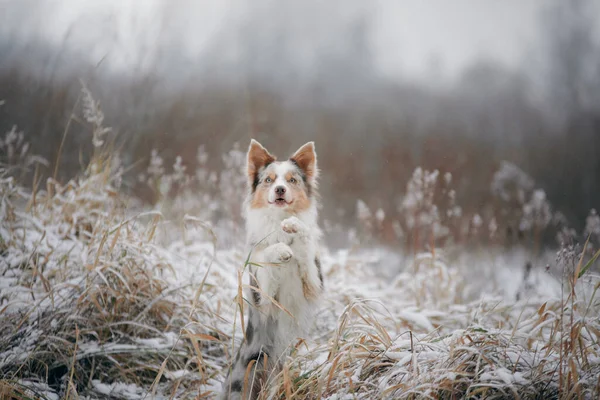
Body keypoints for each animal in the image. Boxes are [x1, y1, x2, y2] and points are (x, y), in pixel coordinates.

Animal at [220, 139, 324, 398]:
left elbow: (304, 246)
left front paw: (295, 228)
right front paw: (280, 250)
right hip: (247, 373)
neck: (278, 219)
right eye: (269, 179)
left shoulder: (313, 285)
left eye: (291, 180)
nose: (279, 190)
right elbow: (266, 252)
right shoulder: (263, 297)